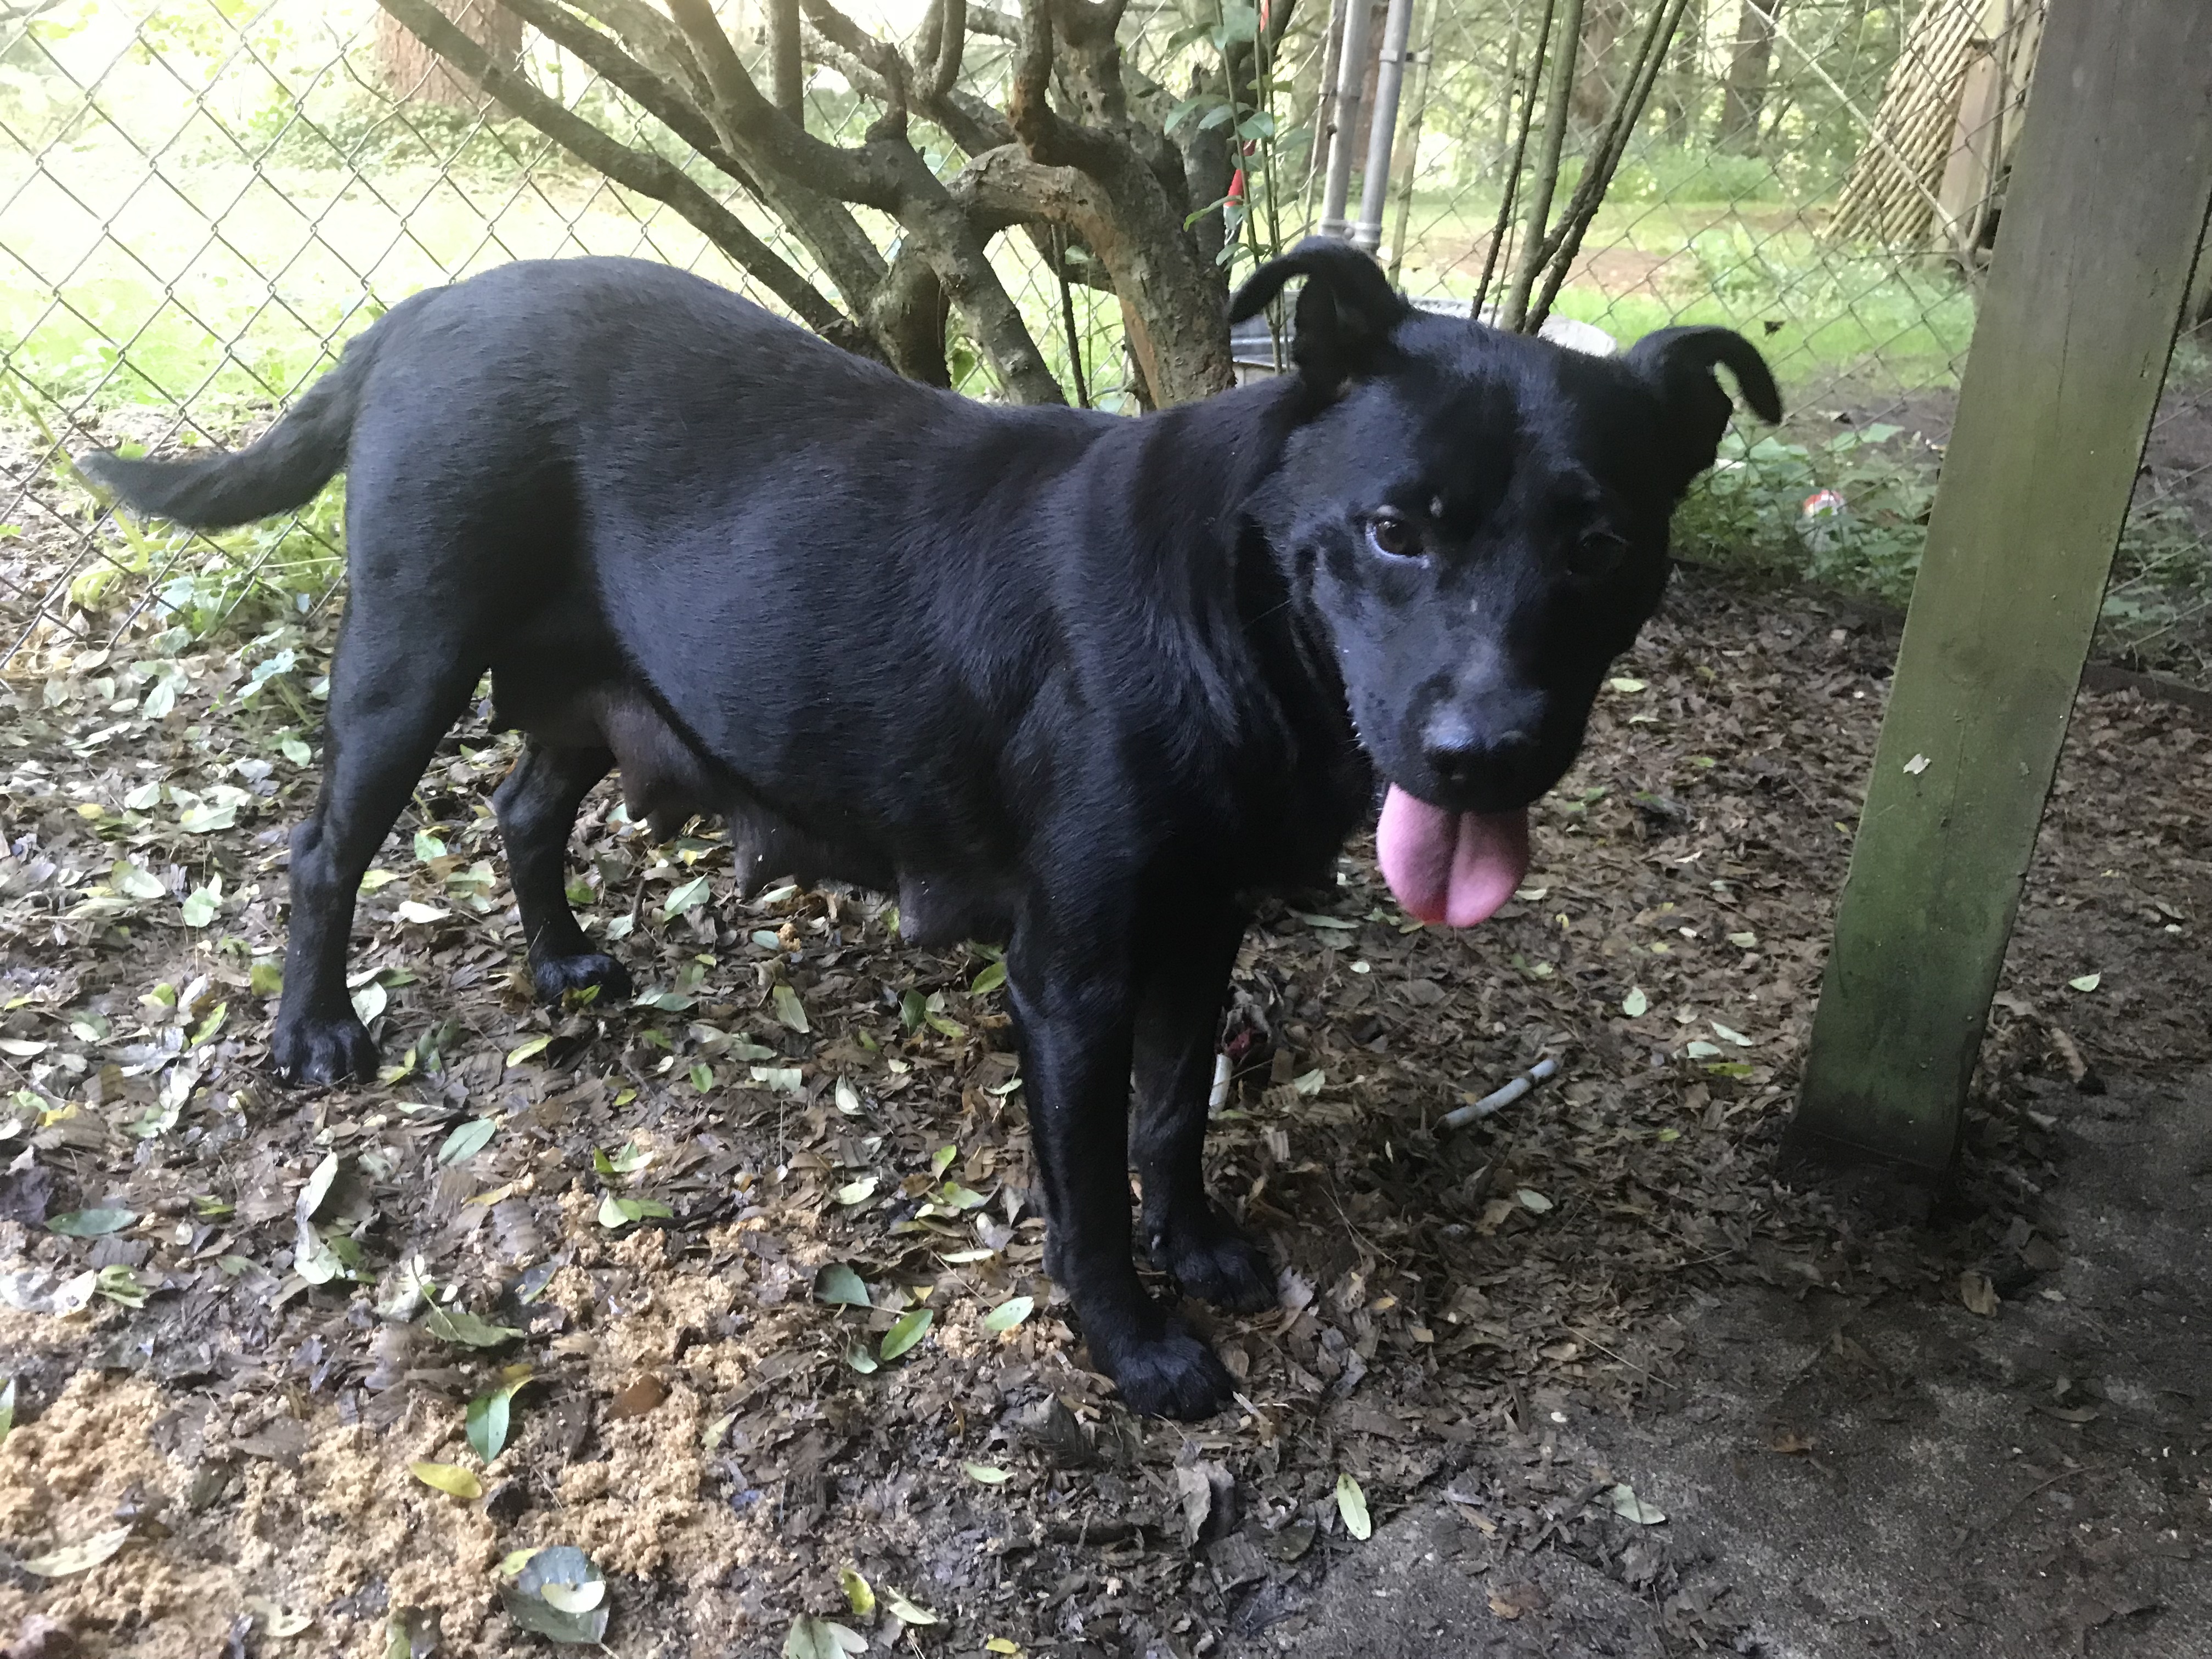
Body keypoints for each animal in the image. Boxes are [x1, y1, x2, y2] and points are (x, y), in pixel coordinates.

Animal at [82, 240, 1778, 1424]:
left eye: (1601, 544)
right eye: (1397, 528)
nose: (1487, 756)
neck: (1231, 615)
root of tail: (419, 308)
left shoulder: (1200, 933)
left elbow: (1173, 1120)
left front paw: (1201, 1248)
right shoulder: (1073, 978)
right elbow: (1087, 1189)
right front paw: (1138, 1342)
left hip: (594, 688)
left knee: (521, 811)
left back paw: (562, 964)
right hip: (407, 662)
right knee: (325, 853)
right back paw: (315, 1033)